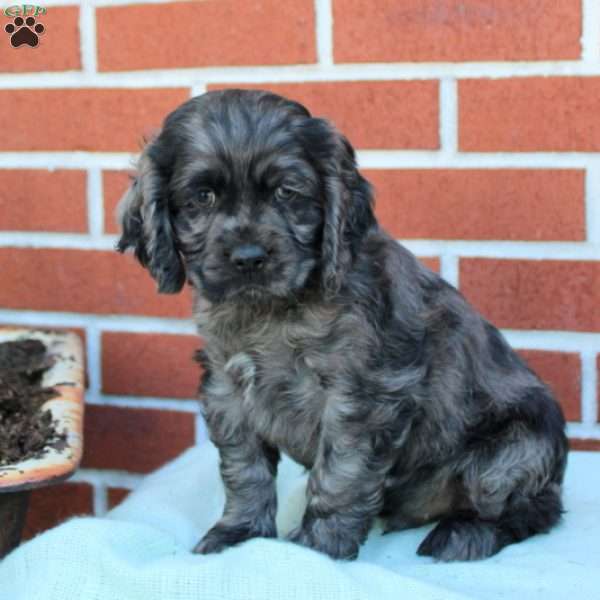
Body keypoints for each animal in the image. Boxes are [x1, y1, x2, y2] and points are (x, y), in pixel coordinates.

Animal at [116, 89, 568, 564]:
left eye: (287, 193)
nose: (249, 258)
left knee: (532, 509)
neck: (272, 310)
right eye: (202, 197)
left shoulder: (362, 395)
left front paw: (318, 548)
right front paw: (237, 534)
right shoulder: (227, 388)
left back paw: (464, 533)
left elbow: (339, 474)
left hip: (513, 451)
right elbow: (244, 470)